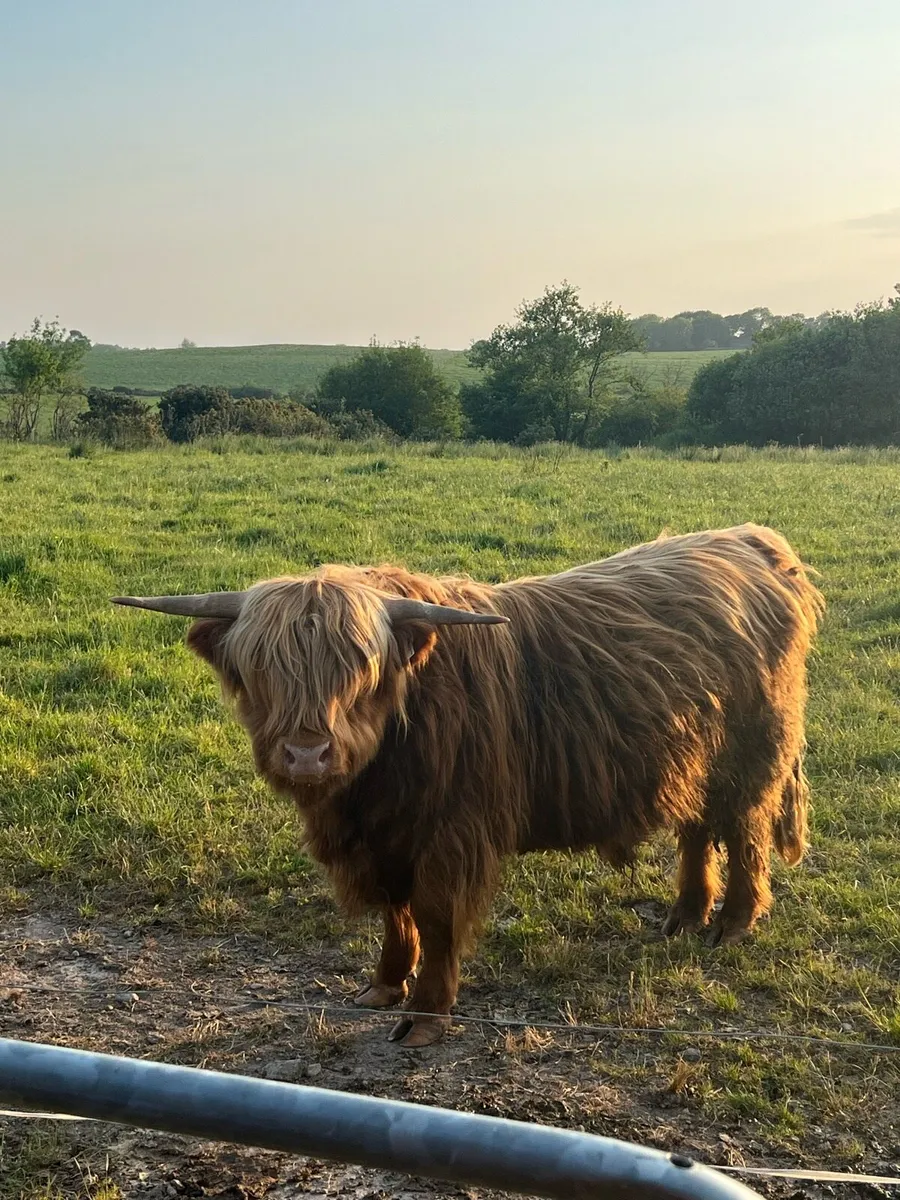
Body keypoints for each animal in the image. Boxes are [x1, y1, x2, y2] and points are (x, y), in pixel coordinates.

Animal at [113, 523, 823, 1048]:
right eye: (259, 667)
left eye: (361, 669)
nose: (307, 754)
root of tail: (751, 541)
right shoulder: (387, 841)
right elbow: (395, 912)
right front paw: (383, 986)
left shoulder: (450, 835)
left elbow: (433, 915)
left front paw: (427, 1016)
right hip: (689, 756)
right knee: (698, 828)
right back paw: (684, 915)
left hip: (753, 754)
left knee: (745, 831)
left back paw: (731, 923)